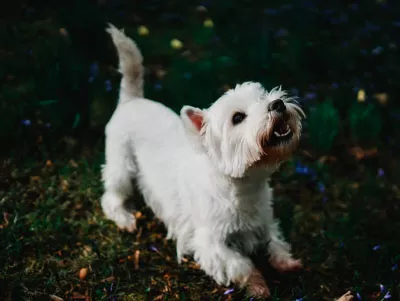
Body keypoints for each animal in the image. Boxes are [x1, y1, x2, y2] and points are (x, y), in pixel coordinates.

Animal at [101, 24, 304, 296]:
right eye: (238, 117)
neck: (243, 188)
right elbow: (241, 265)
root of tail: (132, 99)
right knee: (111, 196)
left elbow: (275, 240)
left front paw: (286, 262)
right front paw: (258, 287)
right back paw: (124, 219)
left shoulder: (263, 220)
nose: (278, 104)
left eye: (263, 97)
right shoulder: (210, 242)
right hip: (121, 165)